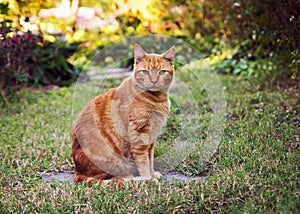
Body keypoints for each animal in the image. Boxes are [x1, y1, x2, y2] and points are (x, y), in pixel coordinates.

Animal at [72, 44, 175, 184]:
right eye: (145, 72)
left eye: (162, 72)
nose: (154, 81)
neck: (156, 99)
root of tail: (79, 171)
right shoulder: (139, 135)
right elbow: (144, 162)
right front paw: (148, 179)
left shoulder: (152, 135)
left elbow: (150, 158)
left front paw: (152, 175)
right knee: (118, 178)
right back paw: (137, 179)